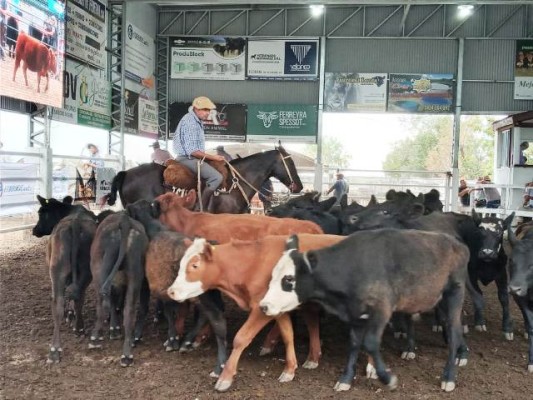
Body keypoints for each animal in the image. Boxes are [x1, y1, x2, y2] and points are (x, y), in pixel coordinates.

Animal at [32, 195, 96, 364]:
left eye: (40, 212)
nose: (34, 230)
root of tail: (75, 223)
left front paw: (70, 315)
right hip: (80, 271)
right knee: (73, 297)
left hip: (58, 271)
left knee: (64, 300)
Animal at [88, 212, 148, 366]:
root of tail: (124, 221)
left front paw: (113, 329)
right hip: (135, 275)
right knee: (129, 311)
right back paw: (127, 354)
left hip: (100, 270)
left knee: (103, 304)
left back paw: (95, 338)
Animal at [166, 233, 344, 392]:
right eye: (181, 264)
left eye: (195, 265)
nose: (171, 291)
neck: (253, 263)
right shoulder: (276, 309)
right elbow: (288, 335)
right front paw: (290, 369)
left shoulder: (261, 309)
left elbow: (241, 338)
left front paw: (225, 378)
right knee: (313, 322)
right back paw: (313, 358)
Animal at [260, 230, 468, 392]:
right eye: (272, 275)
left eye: (289, 279)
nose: (264, 305)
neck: (354, 267)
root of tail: (458, 244)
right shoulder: (355, 314)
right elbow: (353, 343)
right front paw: (345, 379)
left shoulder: (382, 310)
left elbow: (370, 343)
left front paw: (387, 378)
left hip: (454, 294)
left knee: (454, 331)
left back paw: (449, 376)